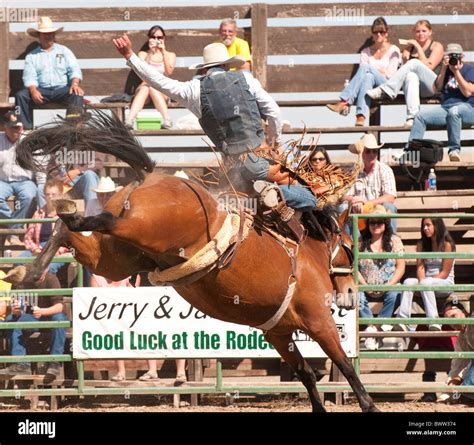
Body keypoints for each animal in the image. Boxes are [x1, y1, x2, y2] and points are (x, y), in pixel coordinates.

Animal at [8, 112, 378, 412]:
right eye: (350, 249)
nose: (349, 292)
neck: (307, 253)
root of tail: (153, 176)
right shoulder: (318, 320)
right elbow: (344, 364)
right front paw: (370, 405)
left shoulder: (278, 333)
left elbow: (305, 374)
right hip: (140, 229)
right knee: (97, 221)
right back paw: (67, 213)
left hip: (115, 260)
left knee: (71, 234)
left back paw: (29, 269)